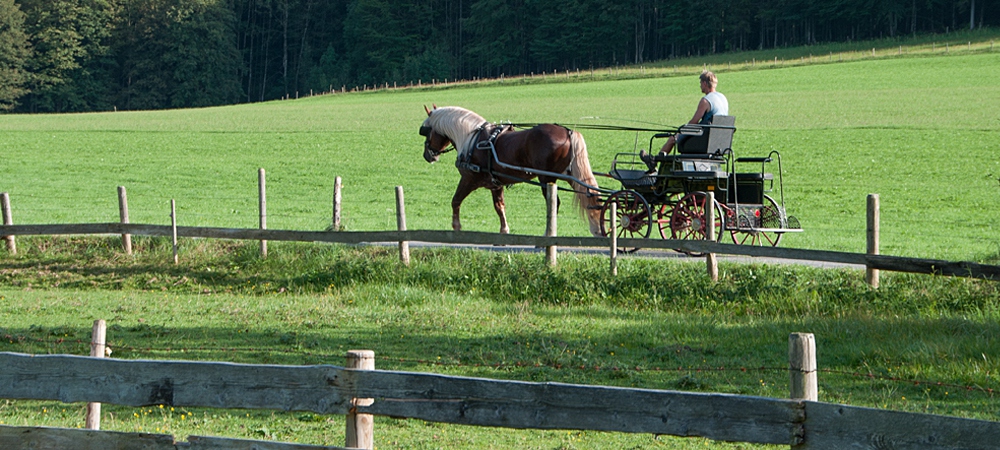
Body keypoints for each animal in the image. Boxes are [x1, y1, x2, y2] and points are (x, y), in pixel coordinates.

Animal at [416, 105, 600, 236]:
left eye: (426, 131)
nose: (427, 155)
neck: (471, 139)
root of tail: (568, 132)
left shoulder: (469, 180)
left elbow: (455, 201)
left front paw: (456, 227)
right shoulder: (495, 184)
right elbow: (499, 207)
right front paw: (504, 231)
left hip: (546, 178)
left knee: (554, 204)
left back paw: (547, 235)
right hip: (569, 175)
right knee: (590, 195)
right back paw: (596, 229)